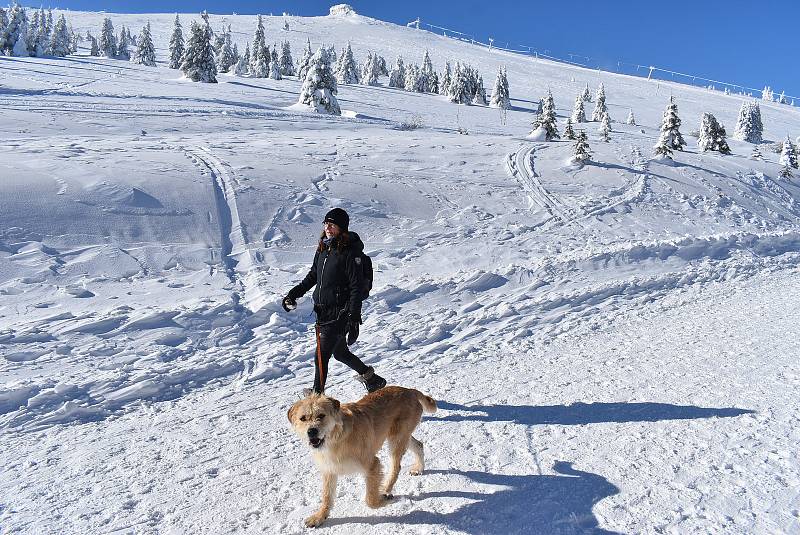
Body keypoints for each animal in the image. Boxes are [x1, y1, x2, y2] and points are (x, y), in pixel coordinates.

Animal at [288, 386, 438, 528]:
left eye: (321, 415)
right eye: (303, 418)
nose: (311, 431)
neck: (337, 438)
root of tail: (409, 390)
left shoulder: (373, 464)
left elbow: (370, 500)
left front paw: (384, 499)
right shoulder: (329, 470)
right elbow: (326, 496)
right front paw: (320, 517)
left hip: (396, 439)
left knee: (396, 467)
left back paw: (386, 489)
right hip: (402, 436)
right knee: (419, 445)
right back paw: (419, 468)